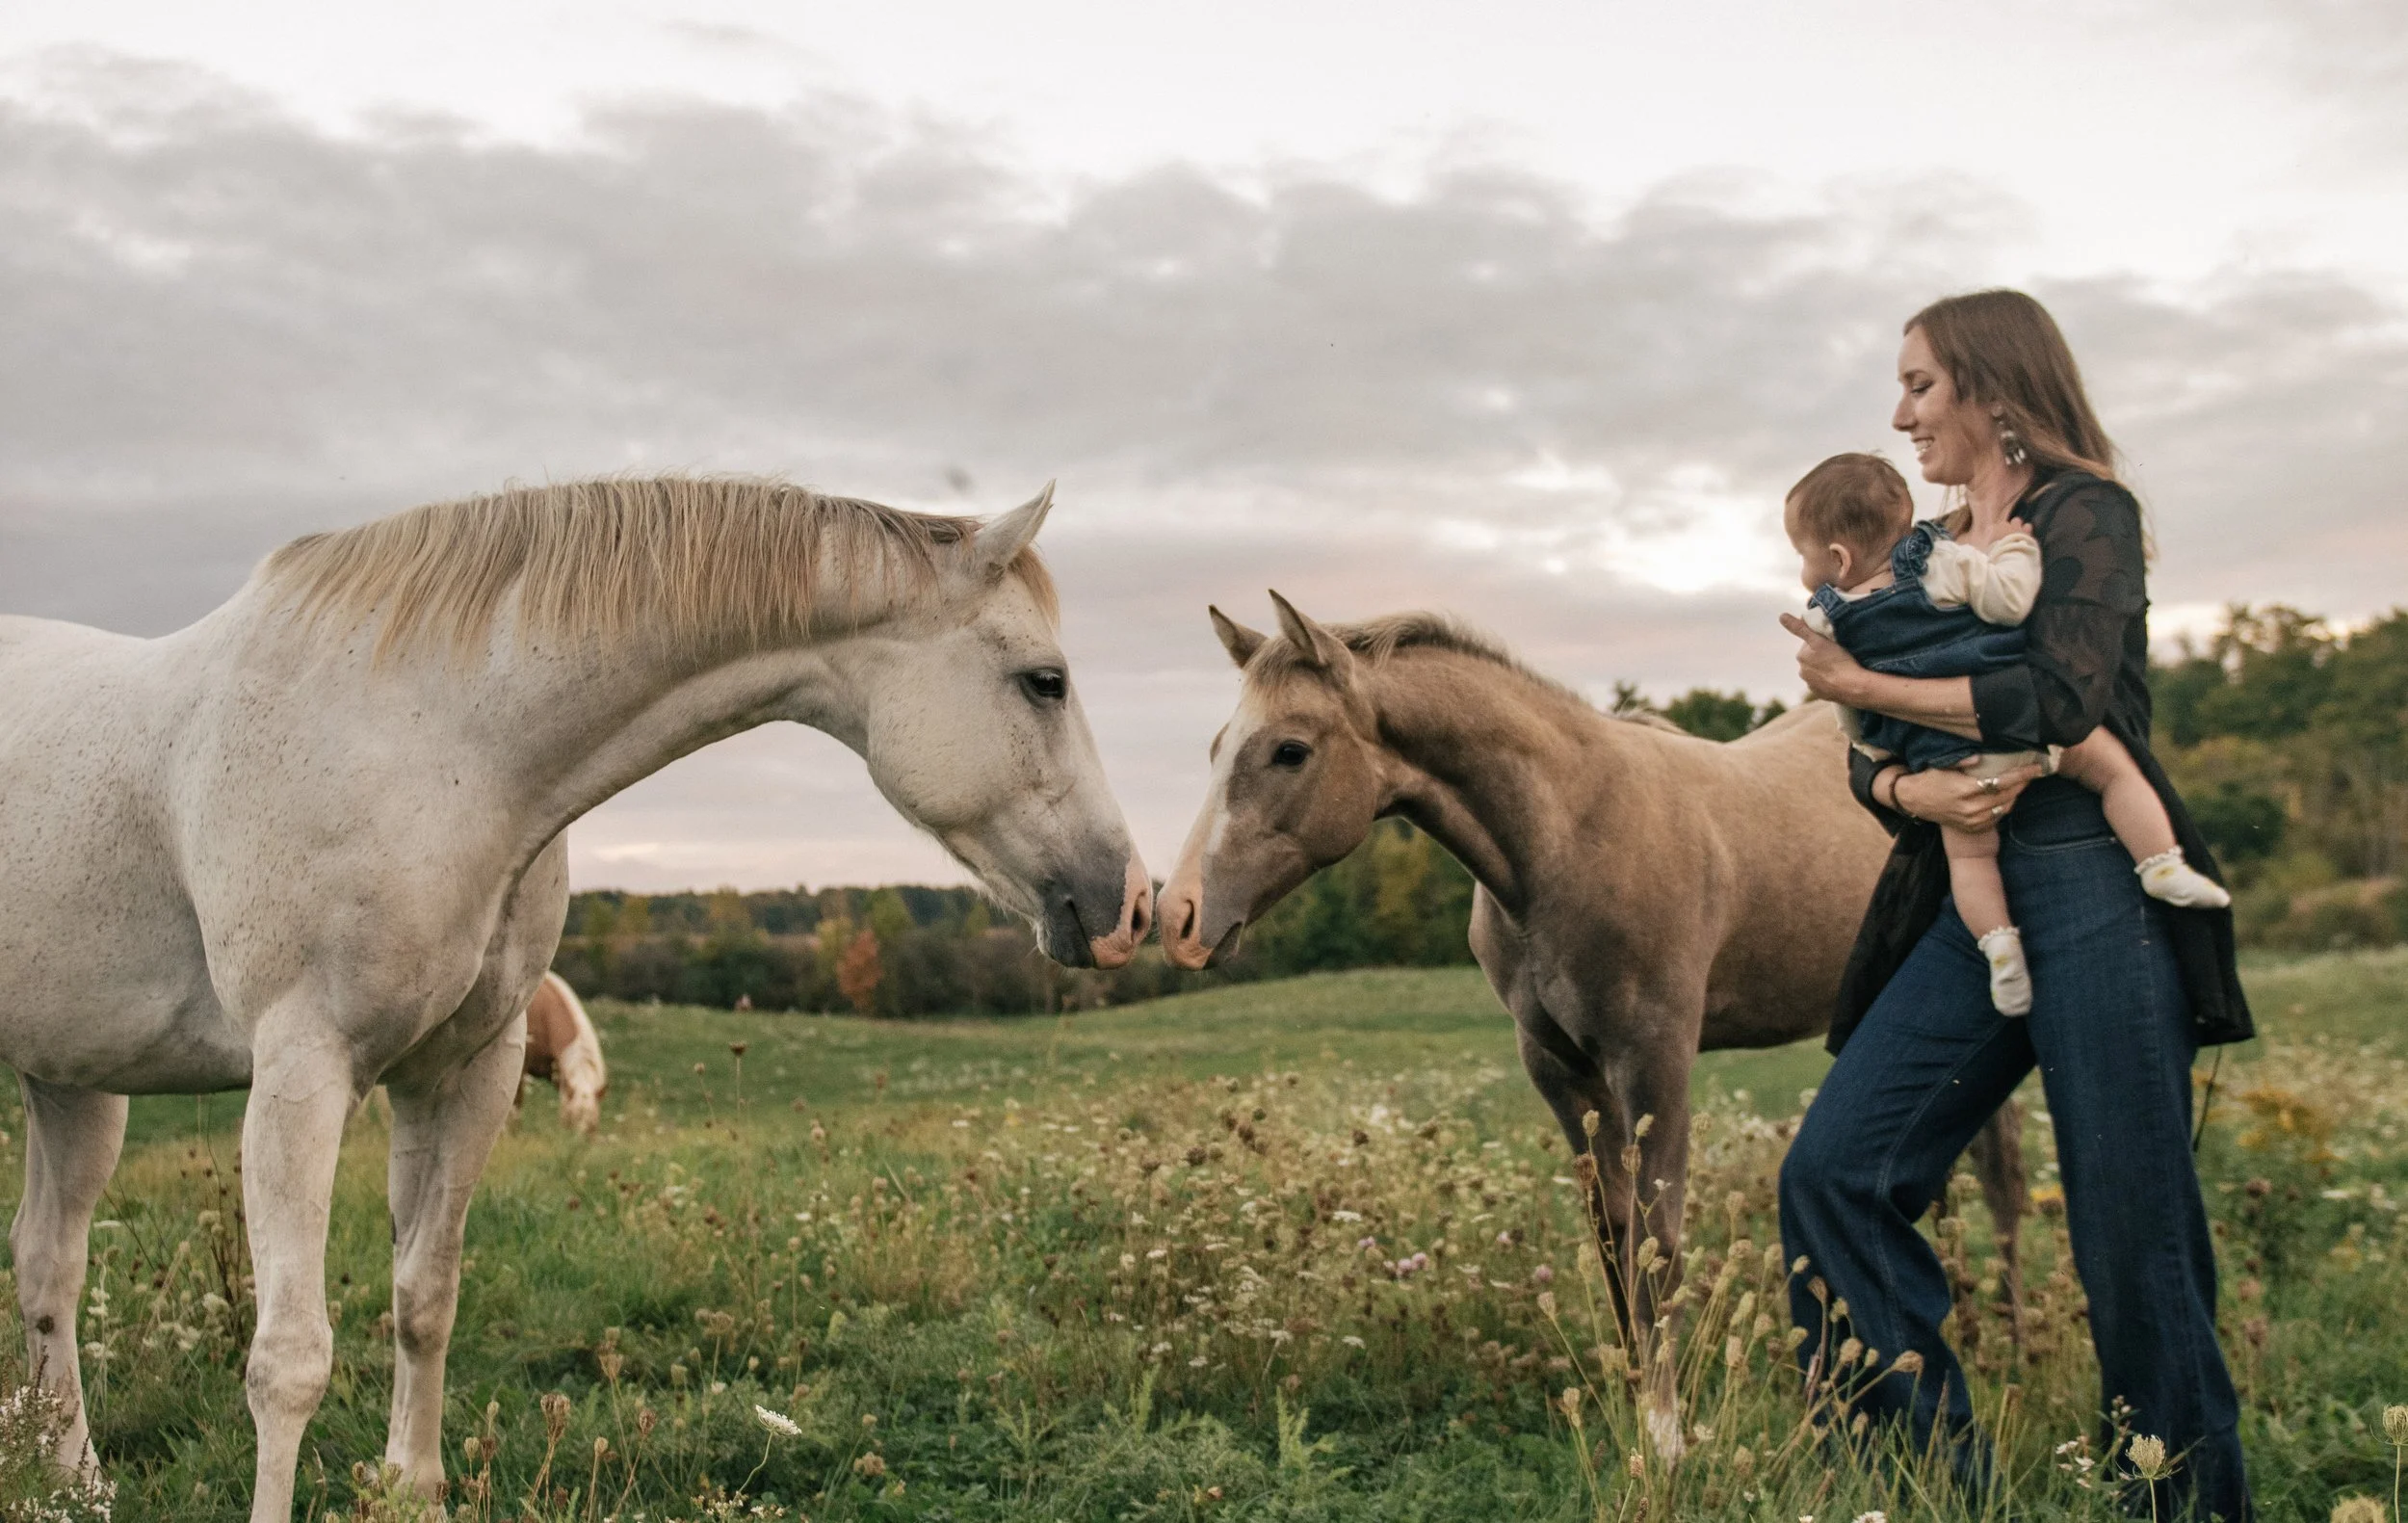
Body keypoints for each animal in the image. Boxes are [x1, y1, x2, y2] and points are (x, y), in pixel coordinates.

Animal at [1157, 593, 2024, 1461]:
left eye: (1290, 751)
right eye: (1215, 746)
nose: (1180, 918)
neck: (1568, 836)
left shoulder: (1655, 1062)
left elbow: (1658, 1242)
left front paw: (1668, 1438)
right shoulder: (1561, 1069)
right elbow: (1612, 1236)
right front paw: (1633, 1407)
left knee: (2003, 1183)